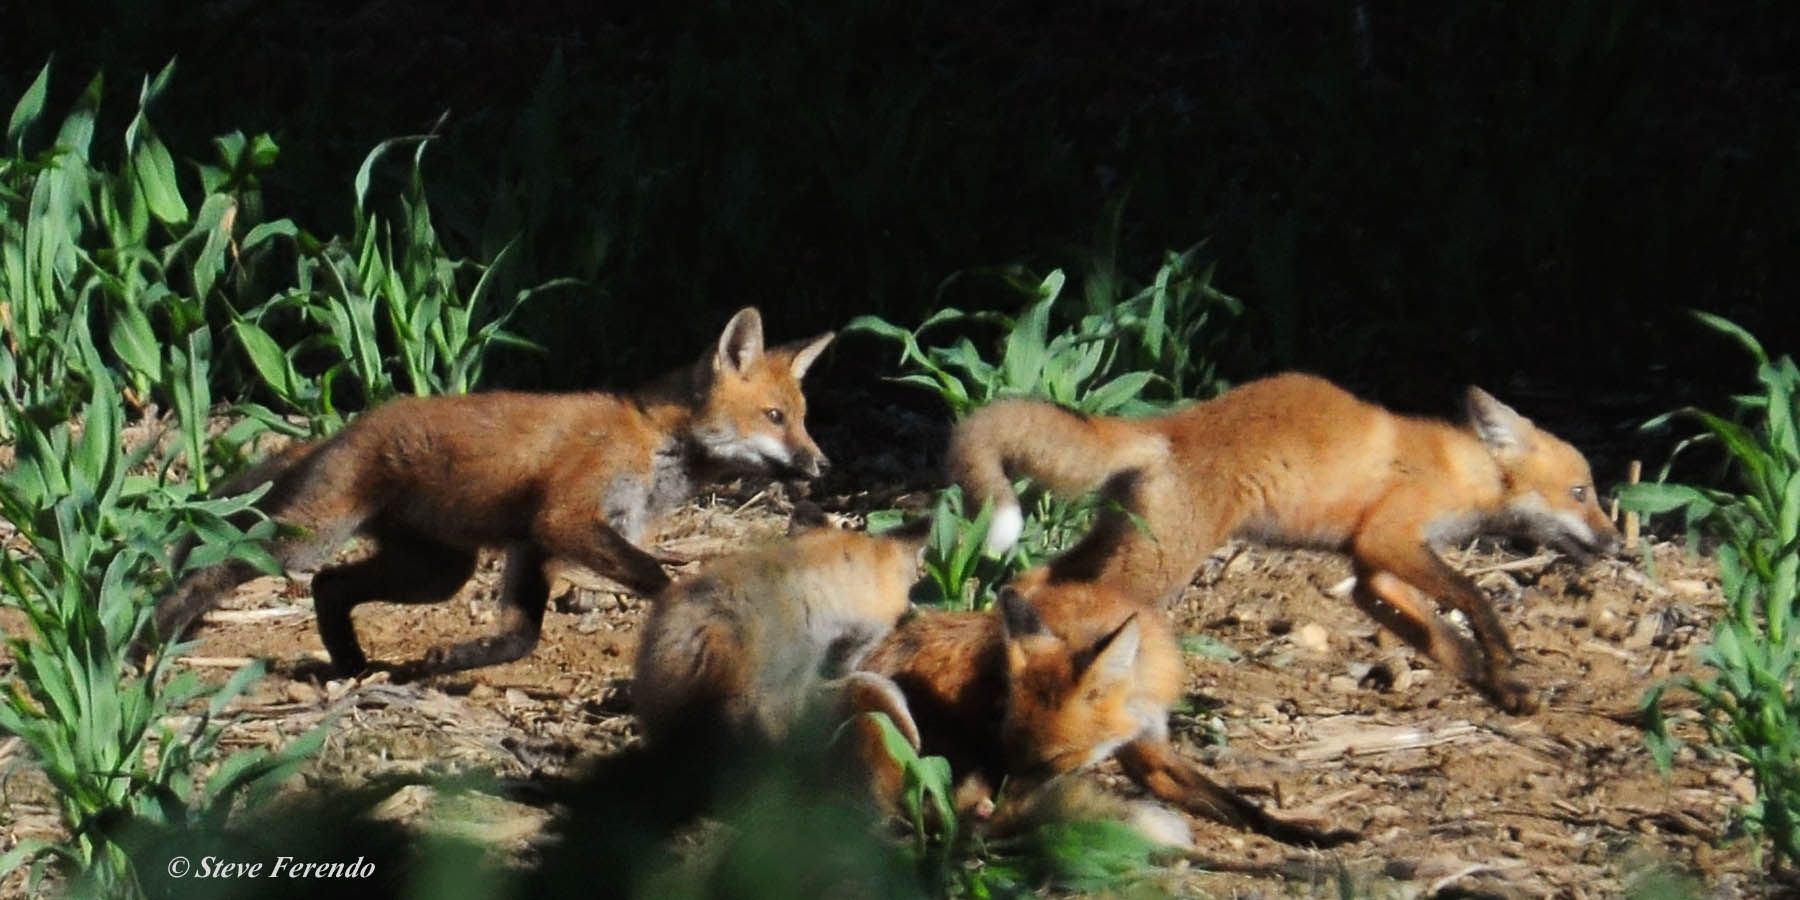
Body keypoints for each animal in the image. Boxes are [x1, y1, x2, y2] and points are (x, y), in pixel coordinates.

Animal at [152, 307, 834, 675]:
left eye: (802, 418)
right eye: (776, 417)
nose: (823, 465)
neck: (655, 444)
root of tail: (341, 430)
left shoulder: (532, 545)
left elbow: (520, 636)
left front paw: (458, 658)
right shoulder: (564, 519)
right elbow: (656, 576)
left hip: (437, 571)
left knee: (330, 586)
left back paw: (351, 665)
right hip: (307, 538)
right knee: (221, 567)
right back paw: (155, 636)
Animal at [853, 580, 1357, 847]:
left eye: (1052, 761)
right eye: (1005, 749)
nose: (1000, 802)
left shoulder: (1149, 750)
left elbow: (1242, 807)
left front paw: (1305, 835)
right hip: (881, 702)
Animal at [947, 372, 1622, 713]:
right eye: (1581, 492)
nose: (1618, 544)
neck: (1461, 471)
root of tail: (1168, 428)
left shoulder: (1374, 574)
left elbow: (1445, 643)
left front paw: (1502, 690)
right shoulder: (1387, 539)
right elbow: (1470, 596)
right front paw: (1501, 648)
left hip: (1125, 545)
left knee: (1031, 584)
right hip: (1156, 567)